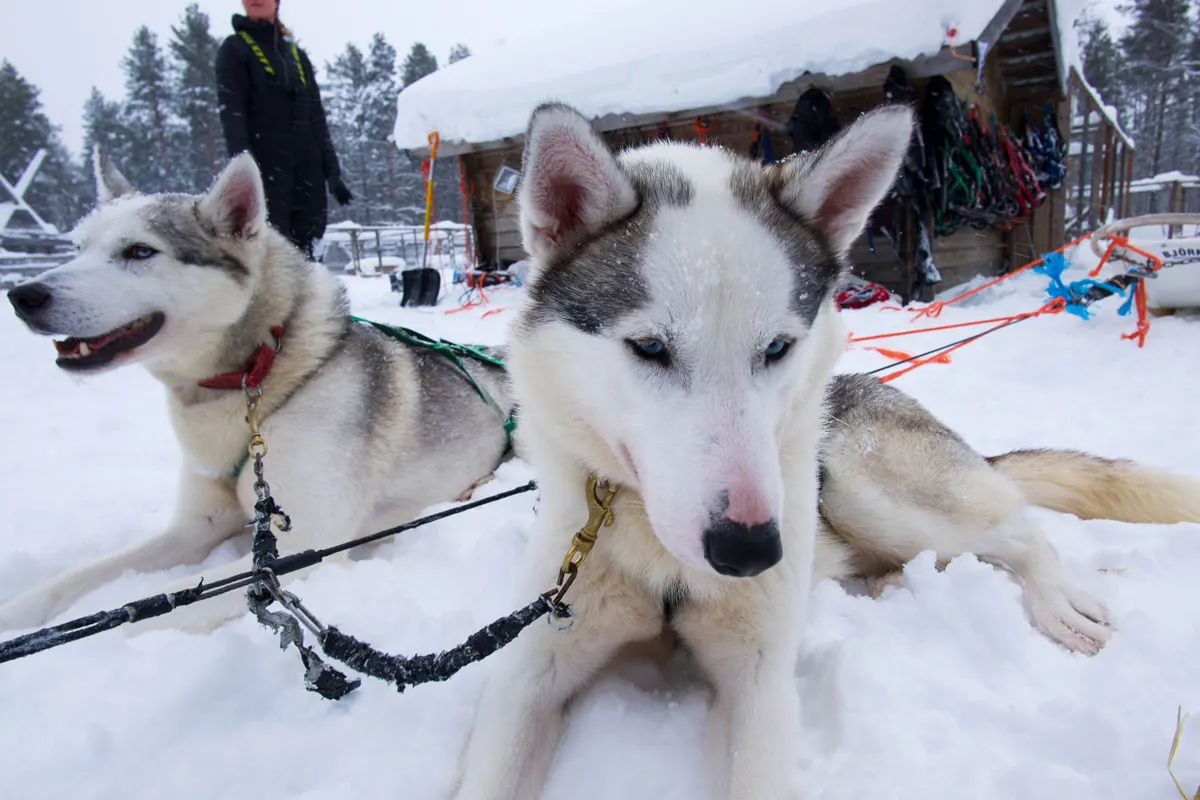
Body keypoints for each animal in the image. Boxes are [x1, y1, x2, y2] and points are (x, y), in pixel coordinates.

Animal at [2, 149, 513, 633]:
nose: (24, 295)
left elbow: (131, 619)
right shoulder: (196, 525)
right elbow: (75, 580)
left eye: (140, 252)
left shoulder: (302, 547)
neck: (261, 377)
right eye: (76, 248)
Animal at [451, 104, 1200, 800]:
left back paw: (1055, 600)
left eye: (778, 347)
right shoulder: (531, 674)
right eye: (650, 347)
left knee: (1021, 533)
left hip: (867, 488)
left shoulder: (759, 679)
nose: (751, 550)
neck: (660, 559)